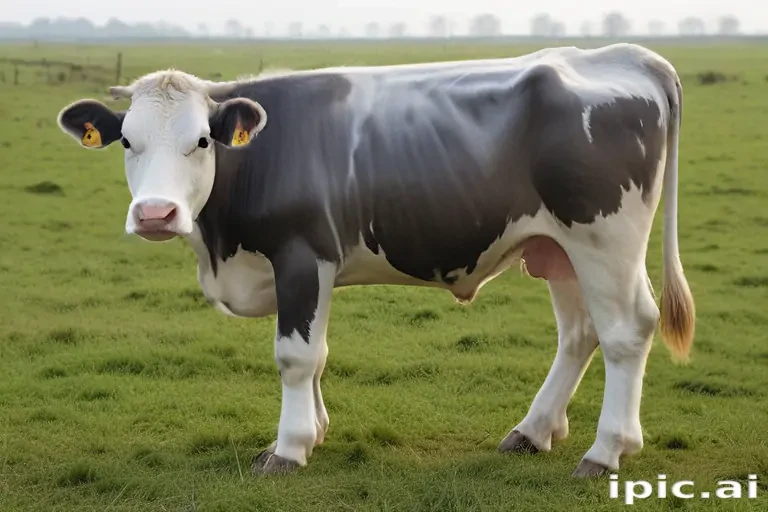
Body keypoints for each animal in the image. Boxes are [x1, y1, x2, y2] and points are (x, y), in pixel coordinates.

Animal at [56, 43, 695, 477]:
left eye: (202, 141)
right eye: (128, 141)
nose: (155, 213)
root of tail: (628, 56)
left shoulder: (302, 255)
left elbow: (295, 355)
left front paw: (288, 448)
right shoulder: (311, 270)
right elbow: (318, 355)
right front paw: (316, 432)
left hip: (605, 239)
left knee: (626, 330)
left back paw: (606, 450)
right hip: (559, 249)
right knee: (579, 333)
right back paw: (532, 432)